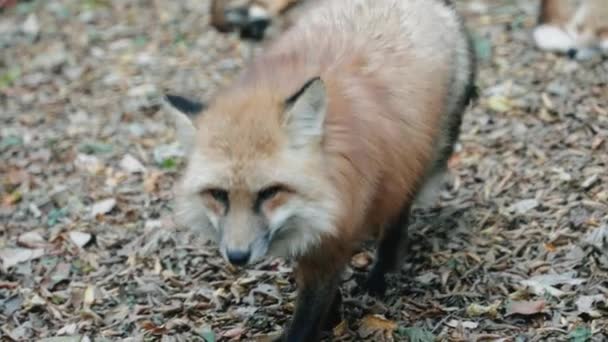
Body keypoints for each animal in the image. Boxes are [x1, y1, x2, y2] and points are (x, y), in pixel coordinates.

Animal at [165, 0, 476, 340]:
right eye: (218, 195)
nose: (237, 256)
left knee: (396, 218)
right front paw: (334, 315)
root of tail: (437, 7)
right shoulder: (312, 230)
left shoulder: (336, 231)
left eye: (270, 192)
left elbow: (308, 313)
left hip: (414, 160)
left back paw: (382, 275)